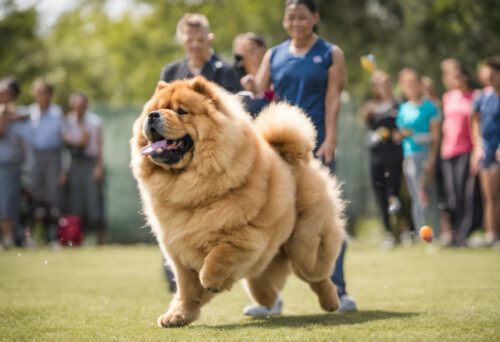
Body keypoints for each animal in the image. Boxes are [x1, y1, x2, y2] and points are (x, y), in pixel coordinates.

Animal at [131, 76, 346, 328]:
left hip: (305, 245)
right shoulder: (179, 252)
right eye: (154, 110)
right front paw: (178, 316)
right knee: (263, 286)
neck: (189, 184)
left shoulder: (245, 237)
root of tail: (293, 157)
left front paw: (210, 280)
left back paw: (331, 302)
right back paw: (267, 302)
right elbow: (186, 289)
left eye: (181, 111)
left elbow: (218, 255)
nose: (153, 115)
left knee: (317, 275)